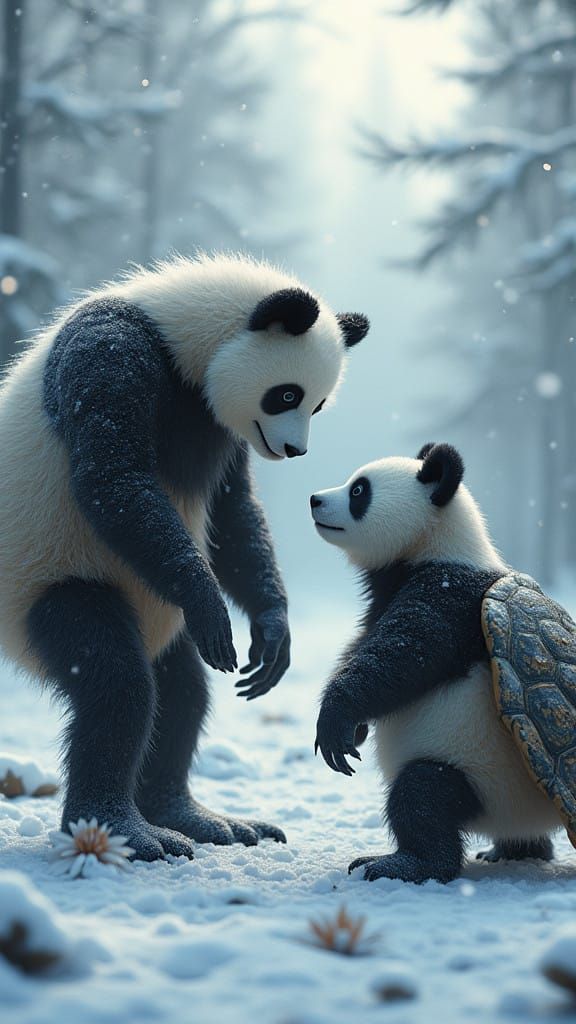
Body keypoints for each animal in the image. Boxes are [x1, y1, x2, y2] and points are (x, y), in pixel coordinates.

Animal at [0, 252, 369, 862]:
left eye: (318, 404)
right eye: (286, 395)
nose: (295, 450)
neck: (178, 334)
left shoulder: (220, 429)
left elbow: (234, 517)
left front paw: (271, 635)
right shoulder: (113, 354)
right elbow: (114, 480)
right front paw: (212, 605)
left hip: (157, 611)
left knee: (181, 695)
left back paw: (198, 819)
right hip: (48, 577)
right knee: (113, 680)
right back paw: (123, 830)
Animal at [312, 442, 562, 884]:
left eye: (359, 490)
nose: (315, 500)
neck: (435, 541)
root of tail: (533, 816)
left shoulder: (446, 591)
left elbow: (404, 654)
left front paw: (335, 724)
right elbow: (365, 646)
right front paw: (353, 731)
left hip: (486, 774)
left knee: (423, 796)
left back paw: (402, 863)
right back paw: (514, 852)